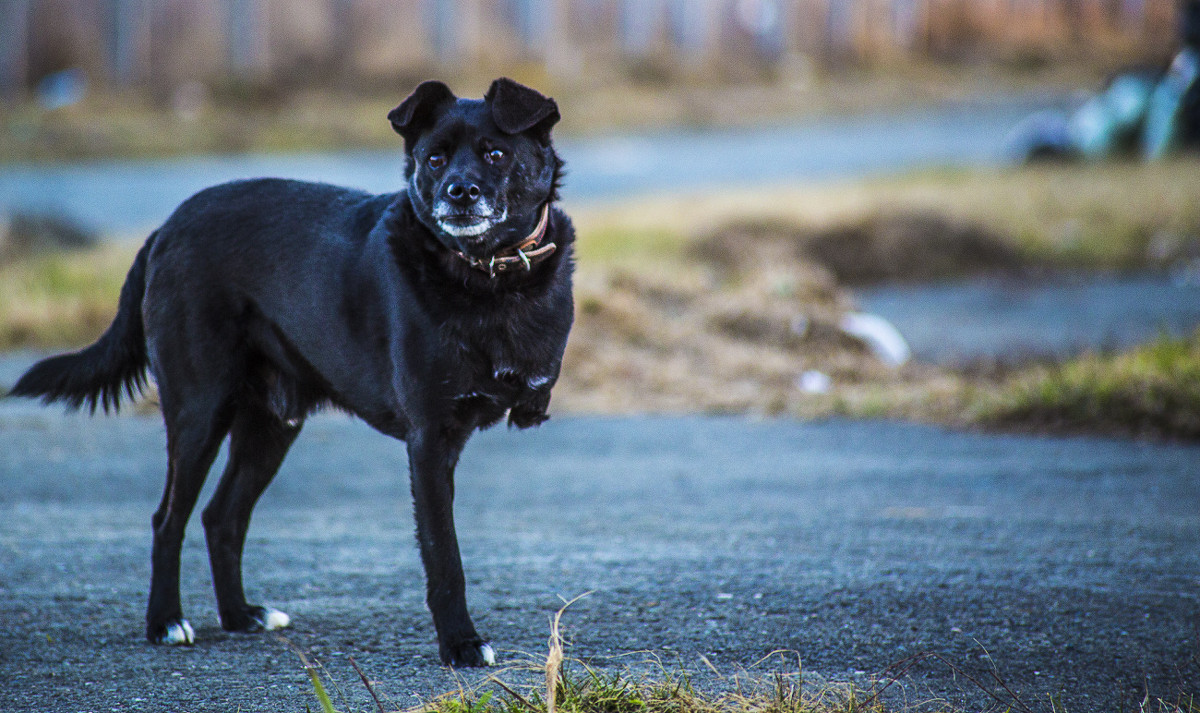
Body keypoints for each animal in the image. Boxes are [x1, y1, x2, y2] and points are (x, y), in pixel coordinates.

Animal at [9, 78, 571, 667]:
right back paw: (165, 622)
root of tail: (167, 226)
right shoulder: (429, 442)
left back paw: (240, 616)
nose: (459, 192)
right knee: (169, 519)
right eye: (434, 158)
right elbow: (445, 556)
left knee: (222, 517)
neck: (489, 276)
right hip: (199, 410)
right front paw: (460, 644)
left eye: (495, 153)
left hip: (271, 425)